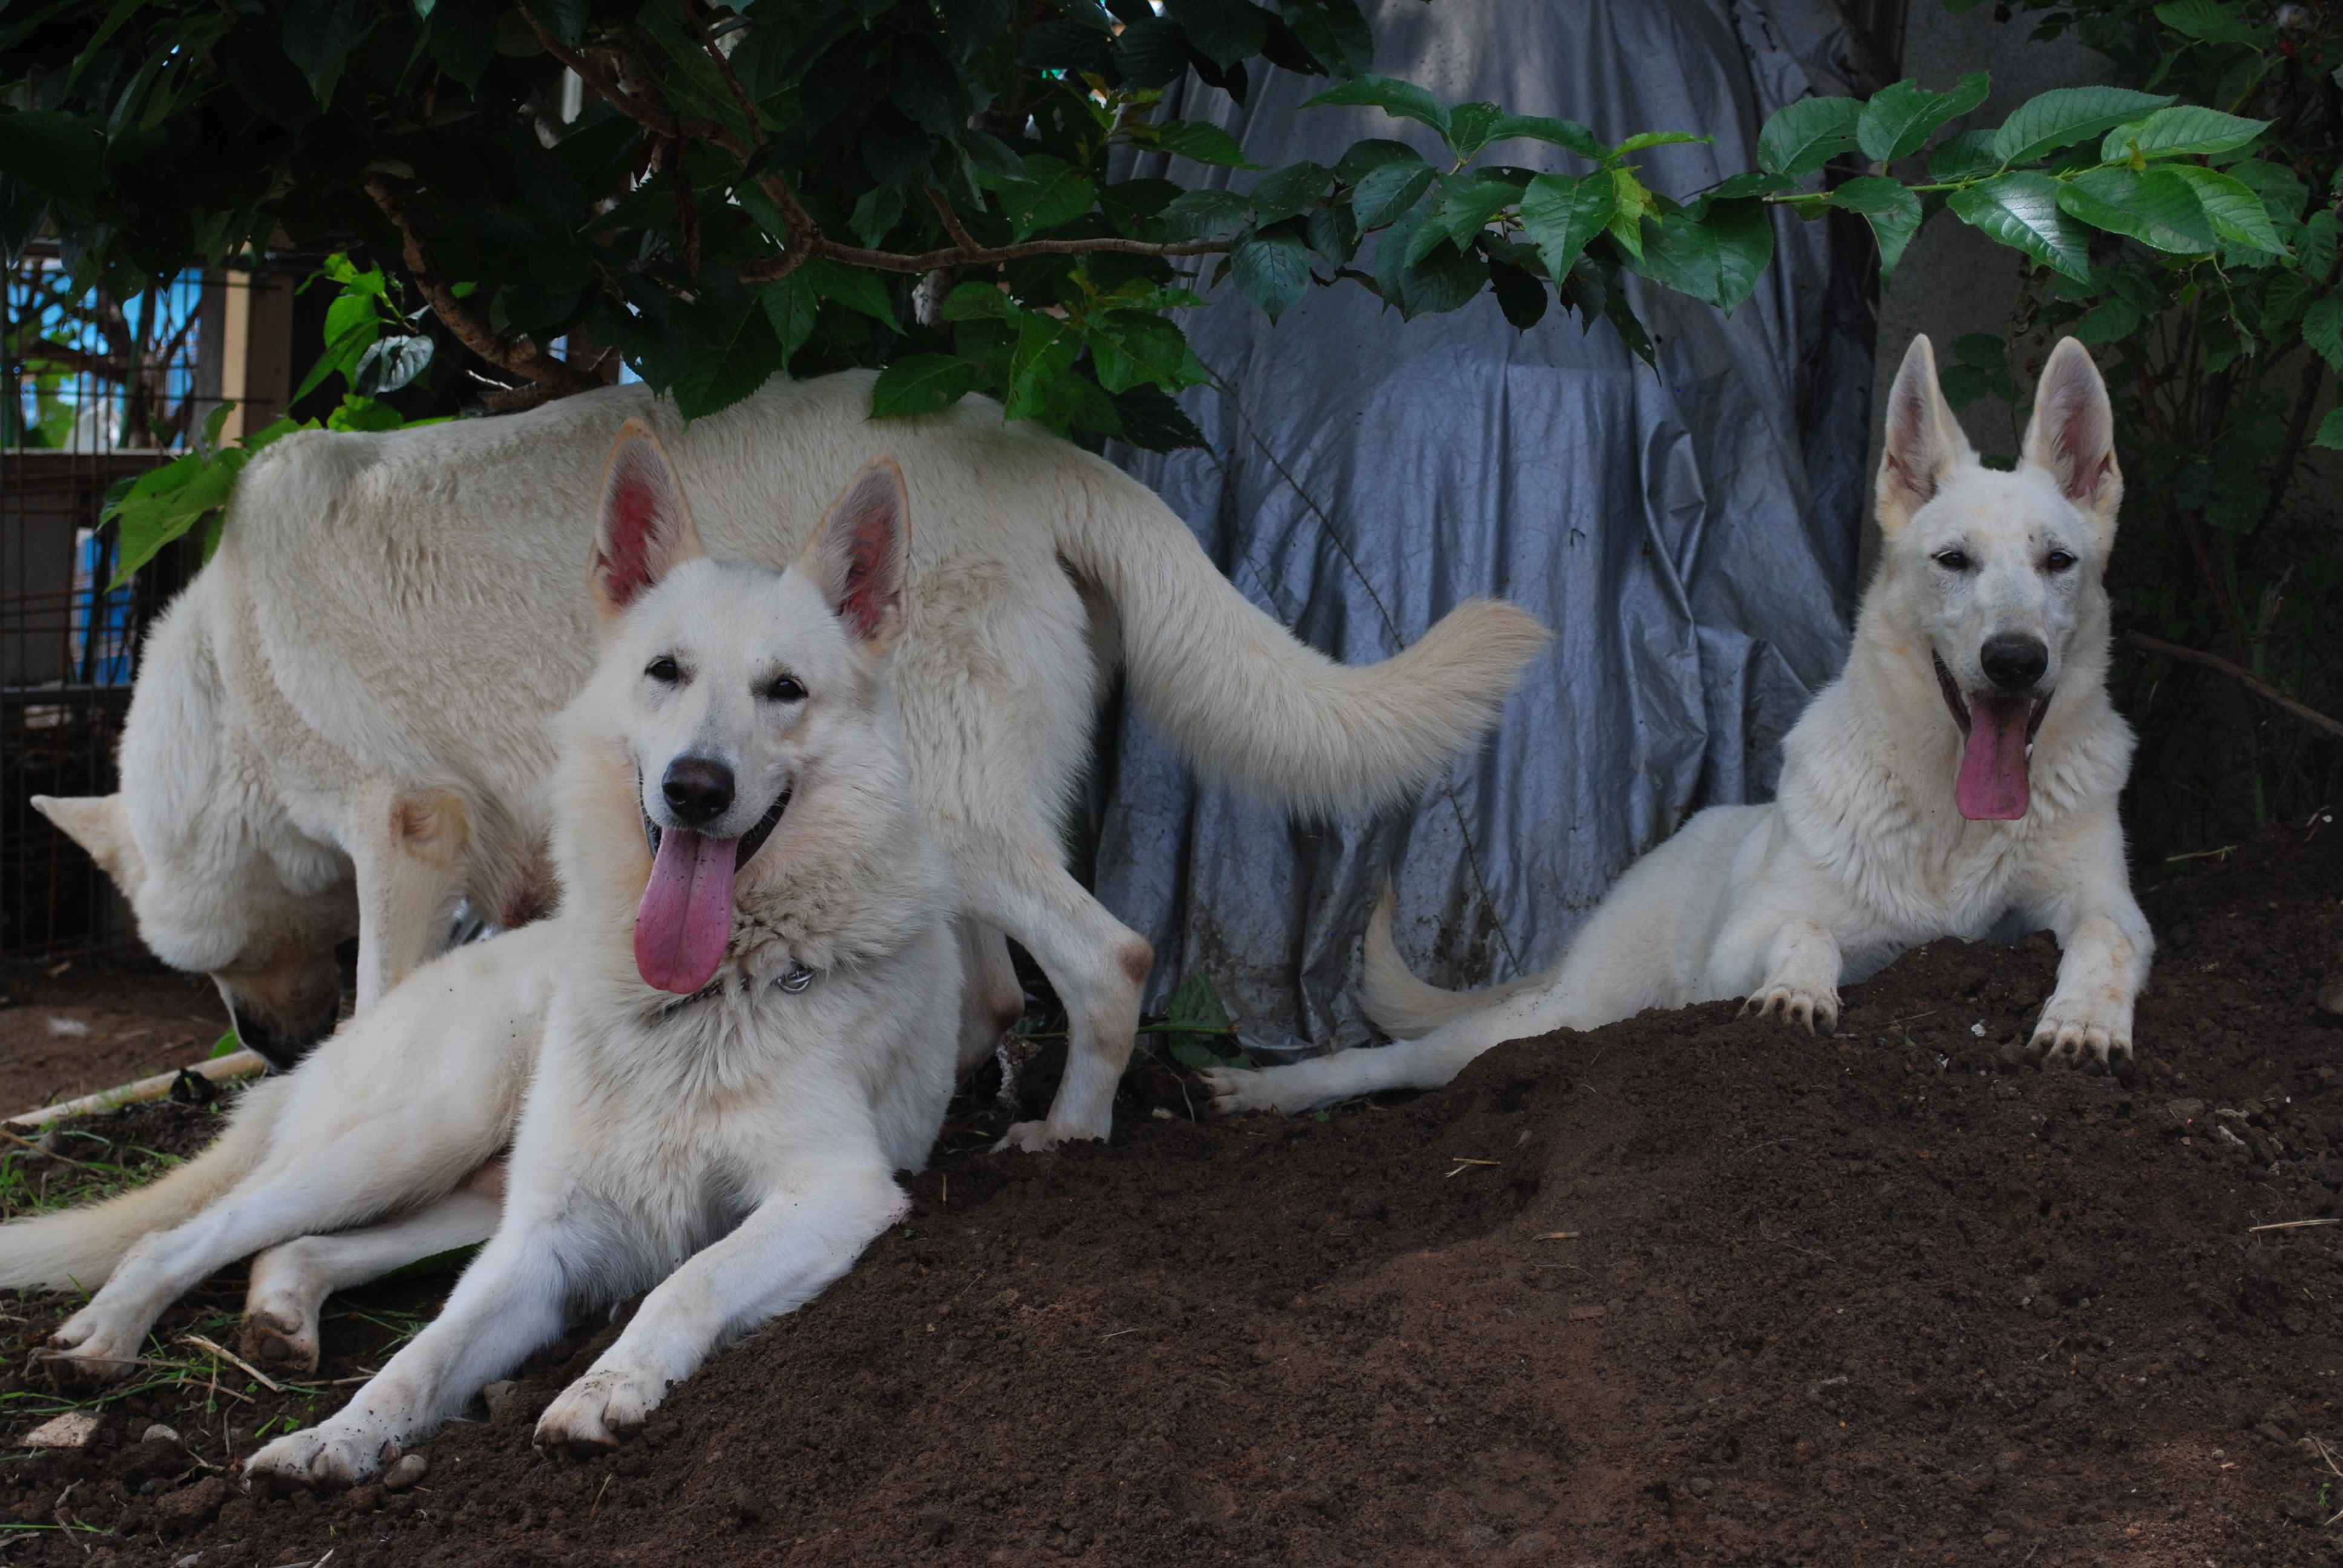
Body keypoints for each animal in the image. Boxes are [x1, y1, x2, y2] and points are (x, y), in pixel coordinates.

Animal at [0, 429, 965, 1481]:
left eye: (784, 689)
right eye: (665, 671)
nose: (696, 789)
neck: (695, 996)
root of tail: (361, 1020)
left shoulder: (835, 1189)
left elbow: (686, 1281)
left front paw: (603, 1385)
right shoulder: (543, 1237)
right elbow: (421, 1358)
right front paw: (339, 1435)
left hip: (459, 1194)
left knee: (295, 1251)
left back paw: (278, 1322)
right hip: (420, 1136)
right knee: (193, 1234)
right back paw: (105, 1335)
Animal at [31, 373, 1556, 1143]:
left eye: (210, 962)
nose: (260, 1046)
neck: (229, 671)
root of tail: (1033, 450)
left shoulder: (404, 834)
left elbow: (382, 992)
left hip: (952, 811)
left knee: (1108, 959)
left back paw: (1061, 1132)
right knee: (991, 994)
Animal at [1208, 333, 2155, 1111]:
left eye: (2057, 561)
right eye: (1953, 560)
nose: (2014, 660)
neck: (1949, 817)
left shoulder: (2105, 903)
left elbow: (2104, 937)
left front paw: (2084, 1022)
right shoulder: (1742, 944)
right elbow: (1809, 927)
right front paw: (1797, 994)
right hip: (1559, 1015)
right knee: (1404, 1059)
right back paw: (1266, 1091)